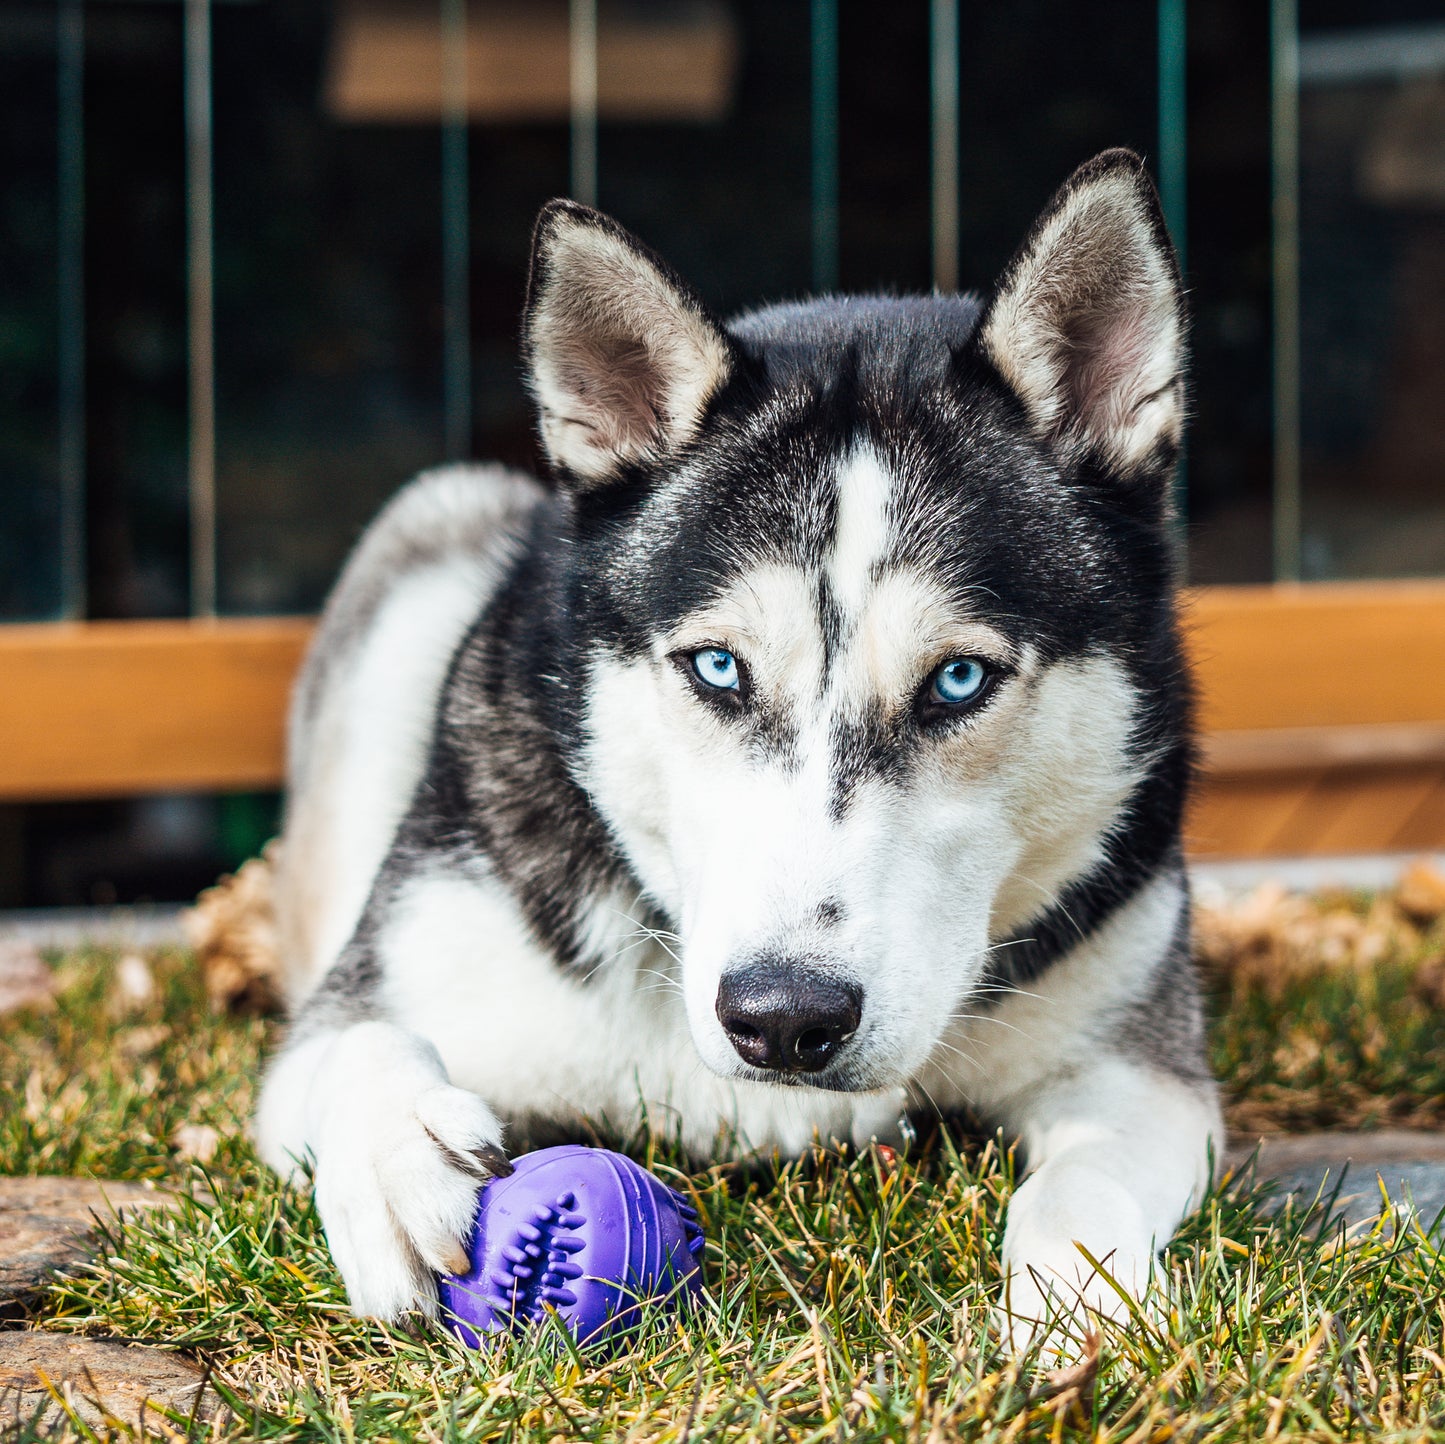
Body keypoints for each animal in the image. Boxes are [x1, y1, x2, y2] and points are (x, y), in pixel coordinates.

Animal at [257, 149, 1219, 1341]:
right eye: (717, 668)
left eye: (957, 680)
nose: (785, 1018)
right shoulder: (360, 1005)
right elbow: (356, 1042)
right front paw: (399, 1163)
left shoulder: (1142, 1068)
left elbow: (1085, 1176)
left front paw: (1082, 1305)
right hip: (434, 526)